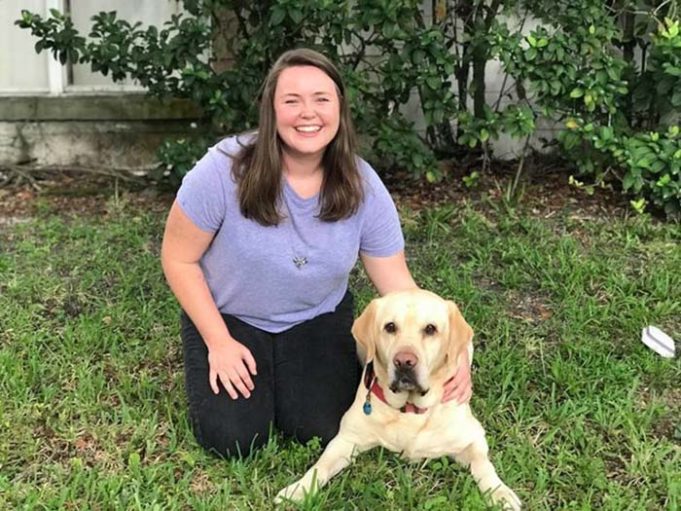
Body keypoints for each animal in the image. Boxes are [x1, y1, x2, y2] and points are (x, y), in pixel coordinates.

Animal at [276, 290, 520, 510]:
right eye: (390, 327)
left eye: (430, 329)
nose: (404, 361)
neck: (409, 409)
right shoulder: (346, 440)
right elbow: (320, 467)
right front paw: (297, 490)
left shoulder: (473, 437)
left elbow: (483, 464)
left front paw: (501, 493)